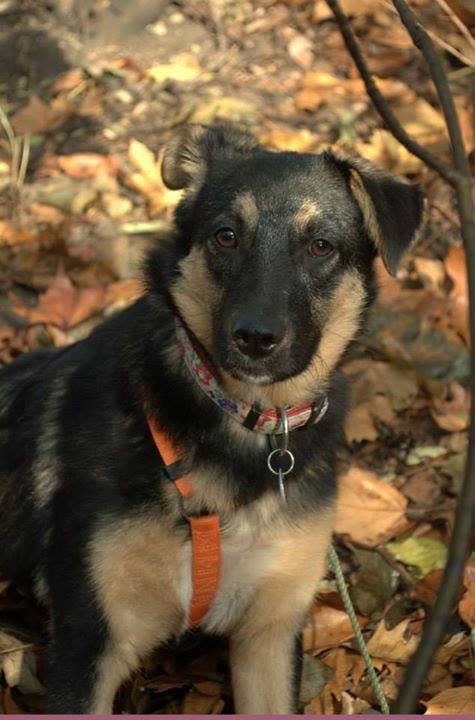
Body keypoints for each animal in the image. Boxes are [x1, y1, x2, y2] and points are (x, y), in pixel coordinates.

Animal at [0, 123, 424, 714]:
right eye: (226, 236)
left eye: (320, 246)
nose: (256, 337)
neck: (245, 423)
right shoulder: (88, 643)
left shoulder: (270, 635)